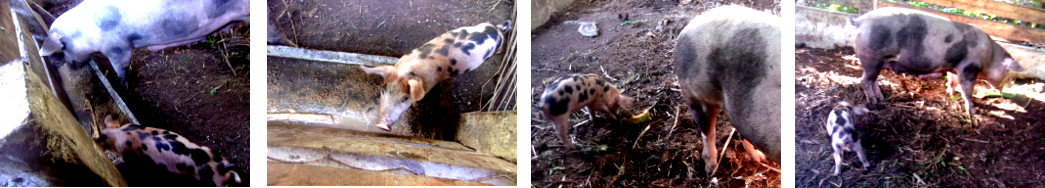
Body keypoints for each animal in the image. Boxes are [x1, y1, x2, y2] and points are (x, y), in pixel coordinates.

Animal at [38, 0, 250, 83]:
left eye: (63, 49)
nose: (69, 67)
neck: (84, 34)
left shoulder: (118, 48)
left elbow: (122, 69)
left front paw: (122, 85)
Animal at [95, 115, 239, 185]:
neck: (119, 133)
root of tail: (222, 168)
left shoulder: (126, 153)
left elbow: (122, 159)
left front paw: (115, 163)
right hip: (211, 152)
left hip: (213, 182)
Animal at [852, 8, 1024, 119]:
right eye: (1008, 73)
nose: (1007, 86)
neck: (990, 57)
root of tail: (860, 20)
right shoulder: (968, 68)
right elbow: (967, 90)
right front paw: (973, 112)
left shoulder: (954, 68)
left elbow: (953, 81)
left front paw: (950, 93)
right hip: (871, 57)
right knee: (865, 80)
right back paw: (874, 102)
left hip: (877, 61)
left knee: (872, 80)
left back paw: (881, 97)